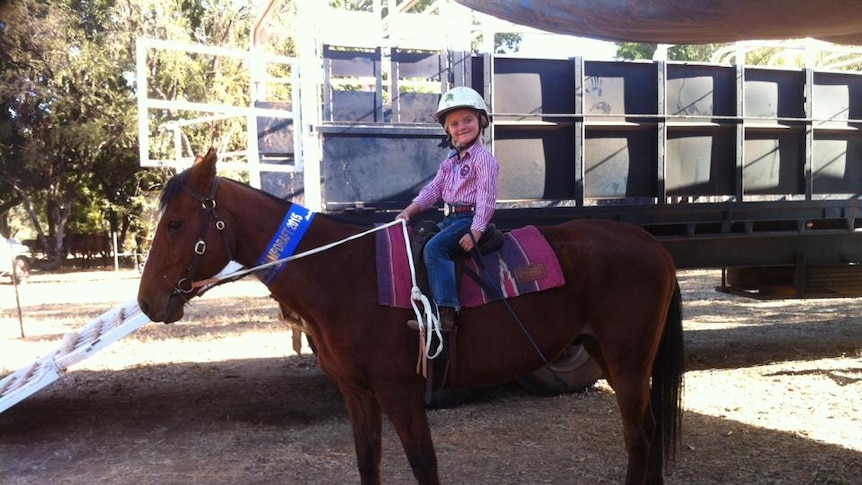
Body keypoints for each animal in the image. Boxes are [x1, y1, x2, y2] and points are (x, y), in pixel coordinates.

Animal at [138, 147, 684, 484]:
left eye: (176, 223)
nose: (147, 302)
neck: (345, 272)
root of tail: (651, 244)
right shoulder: (357, 393)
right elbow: (369, 462)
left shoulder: (400, 392)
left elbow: (424, 465)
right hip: (612, 358)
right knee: (649, 431)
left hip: (629, 364)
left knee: (639, 436)